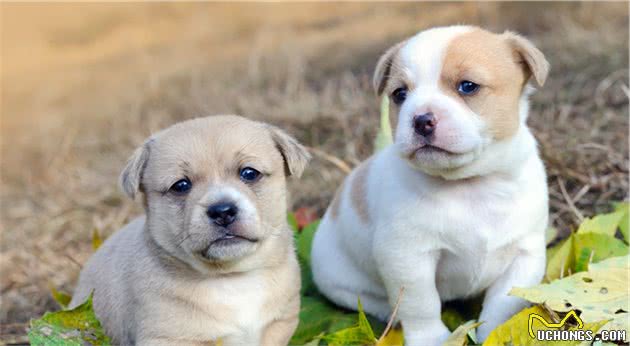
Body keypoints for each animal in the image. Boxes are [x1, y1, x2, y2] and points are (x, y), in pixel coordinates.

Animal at [71, 116, 312, 346]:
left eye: (249, 173)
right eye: (181, 186)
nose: (222, 211)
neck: (231, 279)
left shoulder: (280, 323)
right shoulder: (169, 338)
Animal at [314, 25, 552, 344]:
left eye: (468, 86)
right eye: (399, 94)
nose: (421, 120)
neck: (470, 184)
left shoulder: (524, 256)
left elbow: (502, 305)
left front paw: (494, 335)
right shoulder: (407, 257)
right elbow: (420, 304)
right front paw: (433, 338)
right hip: (341, 284)